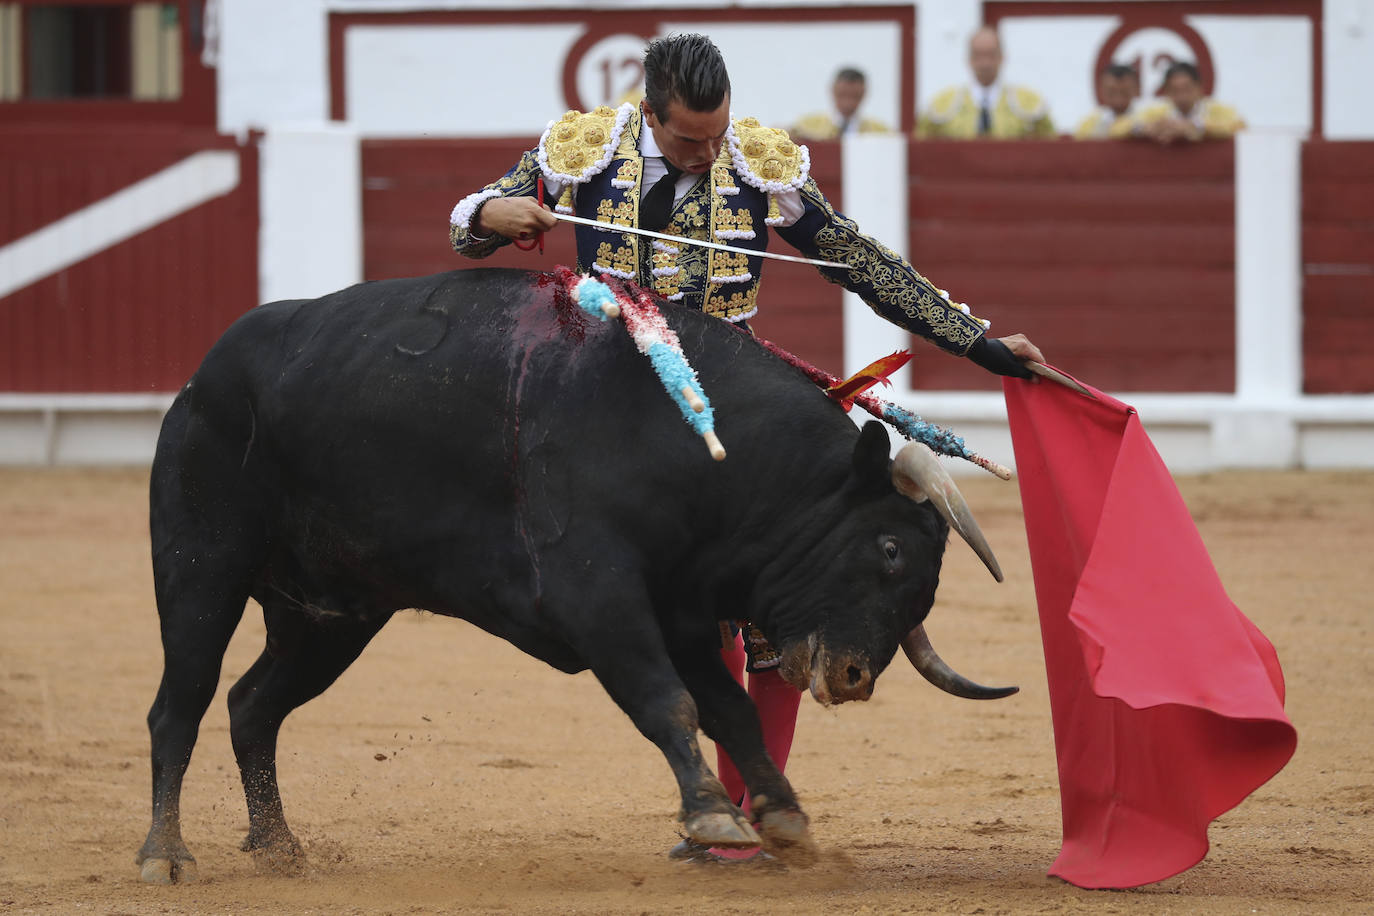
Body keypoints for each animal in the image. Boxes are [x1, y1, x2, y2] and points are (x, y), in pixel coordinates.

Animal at [139, 266, 1016, 878]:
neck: (693, 449)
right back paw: (166, 855)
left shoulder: (683, 613)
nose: (856, 675)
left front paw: (782, 817)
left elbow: (731, 709)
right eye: (890, 549)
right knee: (179, 705)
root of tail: (202, 377)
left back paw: (278, 846)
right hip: (201, 567)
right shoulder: (599, 599)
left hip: (330, 614)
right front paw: (712, 815)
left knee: (253, 705)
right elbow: (667, 702)